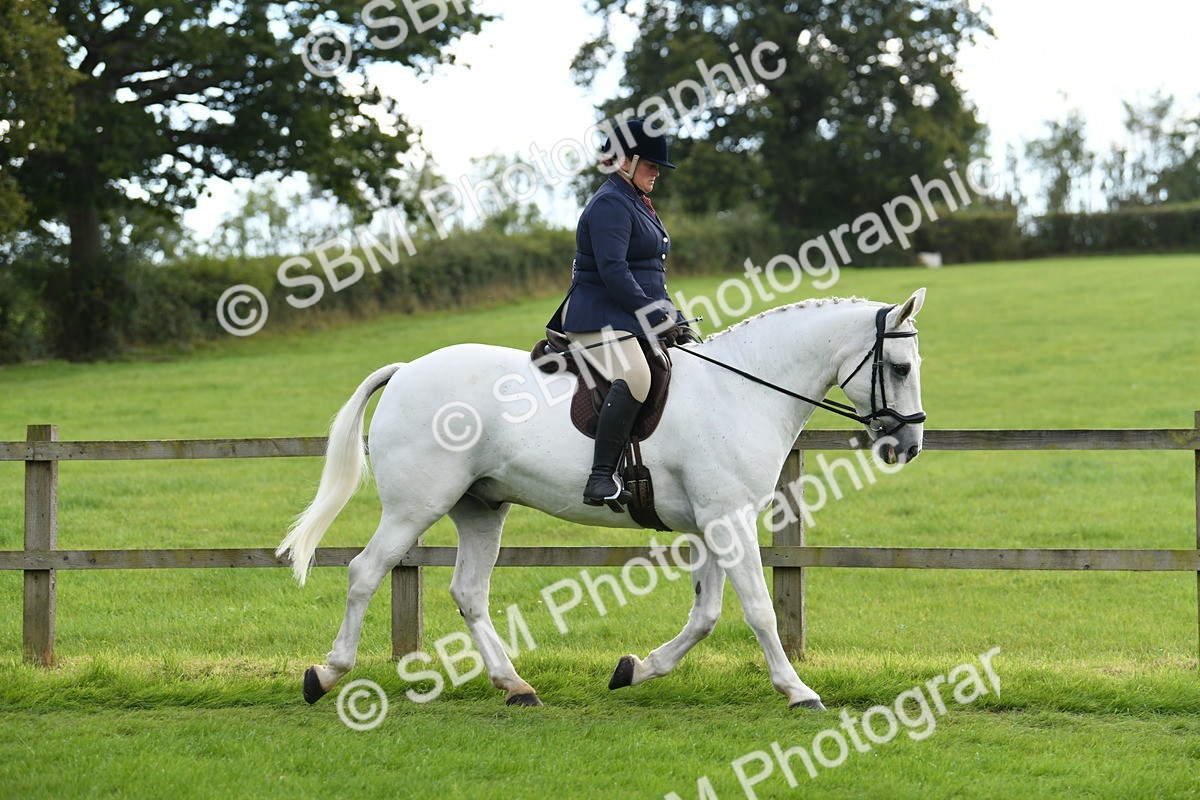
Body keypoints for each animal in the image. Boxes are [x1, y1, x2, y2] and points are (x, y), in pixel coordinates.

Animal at [277, 289, 927, 710]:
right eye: (898, 367)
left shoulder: (714, 524)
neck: (741, 388)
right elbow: (759, 611)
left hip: (481, 508)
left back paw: (515, 687)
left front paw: (635, 670)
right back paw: (325, 676)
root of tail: (407, 369)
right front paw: (798, 692)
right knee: (366, 572)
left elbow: (706, 614)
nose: (909, 445)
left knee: (469, 592)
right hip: (415, 508)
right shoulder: (728, 519)